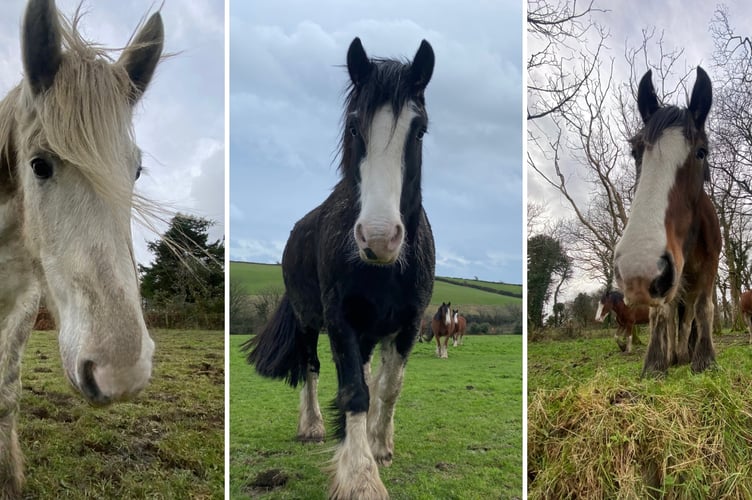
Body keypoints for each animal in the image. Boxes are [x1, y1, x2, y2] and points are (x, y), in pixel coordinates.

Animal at [244, 37, 438, 498]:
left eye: (419, 129)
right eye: (354, 128)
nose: (379, 237)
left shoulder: (410, 323)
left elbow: (388, 387)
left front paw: (379, 445)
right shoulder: (339, 319)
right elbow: (353, 391)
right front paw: (360, 477)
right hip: (308, 320)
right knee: (312, 369)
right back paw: (312, 426)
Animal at [612, 67, 724, 378]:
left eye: (701, 152)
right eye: (636, 152)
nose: (638, 269)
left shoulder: (710, 266)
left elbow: (704, 308)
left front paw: (704, 360)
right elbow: (661, 312)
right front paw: (656, 362)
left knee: (689, 315)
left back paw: (685, 353)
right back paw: (675, 354)